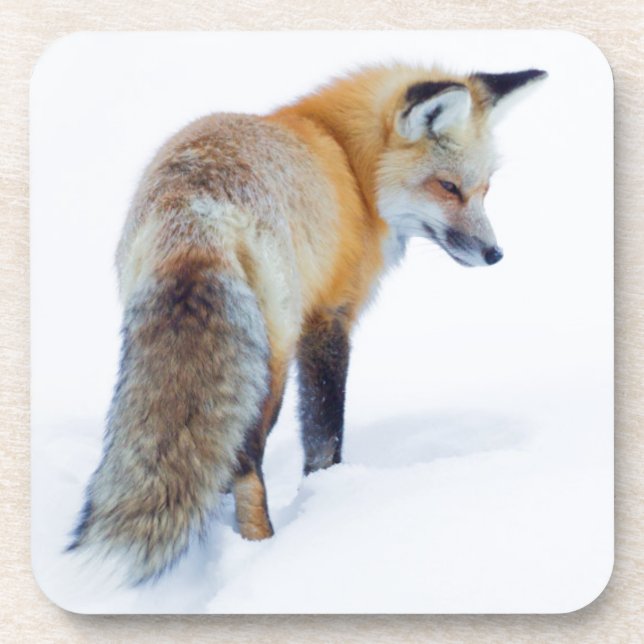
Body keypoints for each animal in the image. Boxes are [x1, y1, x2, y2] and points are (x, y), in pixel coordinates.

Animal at [68, 63, 546, 584]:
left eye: (484, 189)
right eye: (448, 187)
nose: (495, 254)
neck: (348, 164)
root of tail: (195, 208)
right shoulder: (328, 317)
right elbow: (323, 433)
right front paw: (327, 493)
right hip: (270, 360)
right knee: (245, 458)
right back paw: (259, 546)